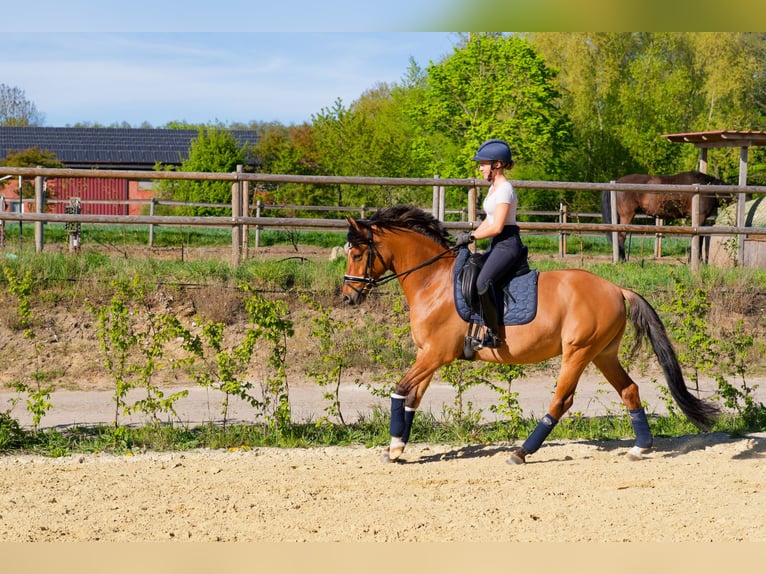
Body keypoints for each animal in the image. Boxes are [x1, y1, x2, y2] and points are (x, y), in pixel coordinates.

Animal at [342, 205, 719, 465]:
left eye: (358, 254)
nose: (348, 297)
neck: (432, 282)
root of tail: (616, 288)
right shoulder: (428, 355)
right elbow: (412, 398)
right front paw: (398, 447)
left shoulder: (436, 354)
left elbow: (400, 389)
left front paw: (394, 447)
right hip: (603, 353)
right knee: (629, 390)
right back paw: (640, 448)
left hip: (578, 351)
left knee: (562, 400)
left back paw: (522, 452)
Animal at [600, 170, 728, 261]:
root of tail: (617, 181)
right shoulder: (700, 218)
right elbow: (699, 239)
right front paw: (696, 260)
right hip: (627, 216)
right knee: (621, 236)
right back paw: (623, 260)